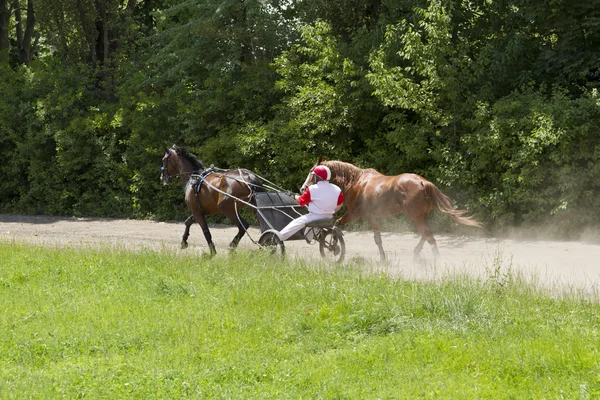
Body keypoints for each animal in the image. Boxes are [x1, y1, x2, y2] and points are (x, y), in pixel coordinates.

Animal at [300, 158, 482, 260]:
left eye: (311, 172)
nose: (303, 189)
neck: (357, 182)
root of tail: (423, 182)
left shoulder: (353, 214)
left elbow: (336, 226)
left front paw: (332, 246)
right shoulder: (374, 218)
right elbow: (378, 239)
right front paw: (383, 257)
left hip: (416, 217)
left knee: (429, 236)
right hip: (422, 216)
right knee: (426, 234)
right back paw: (417, 253)